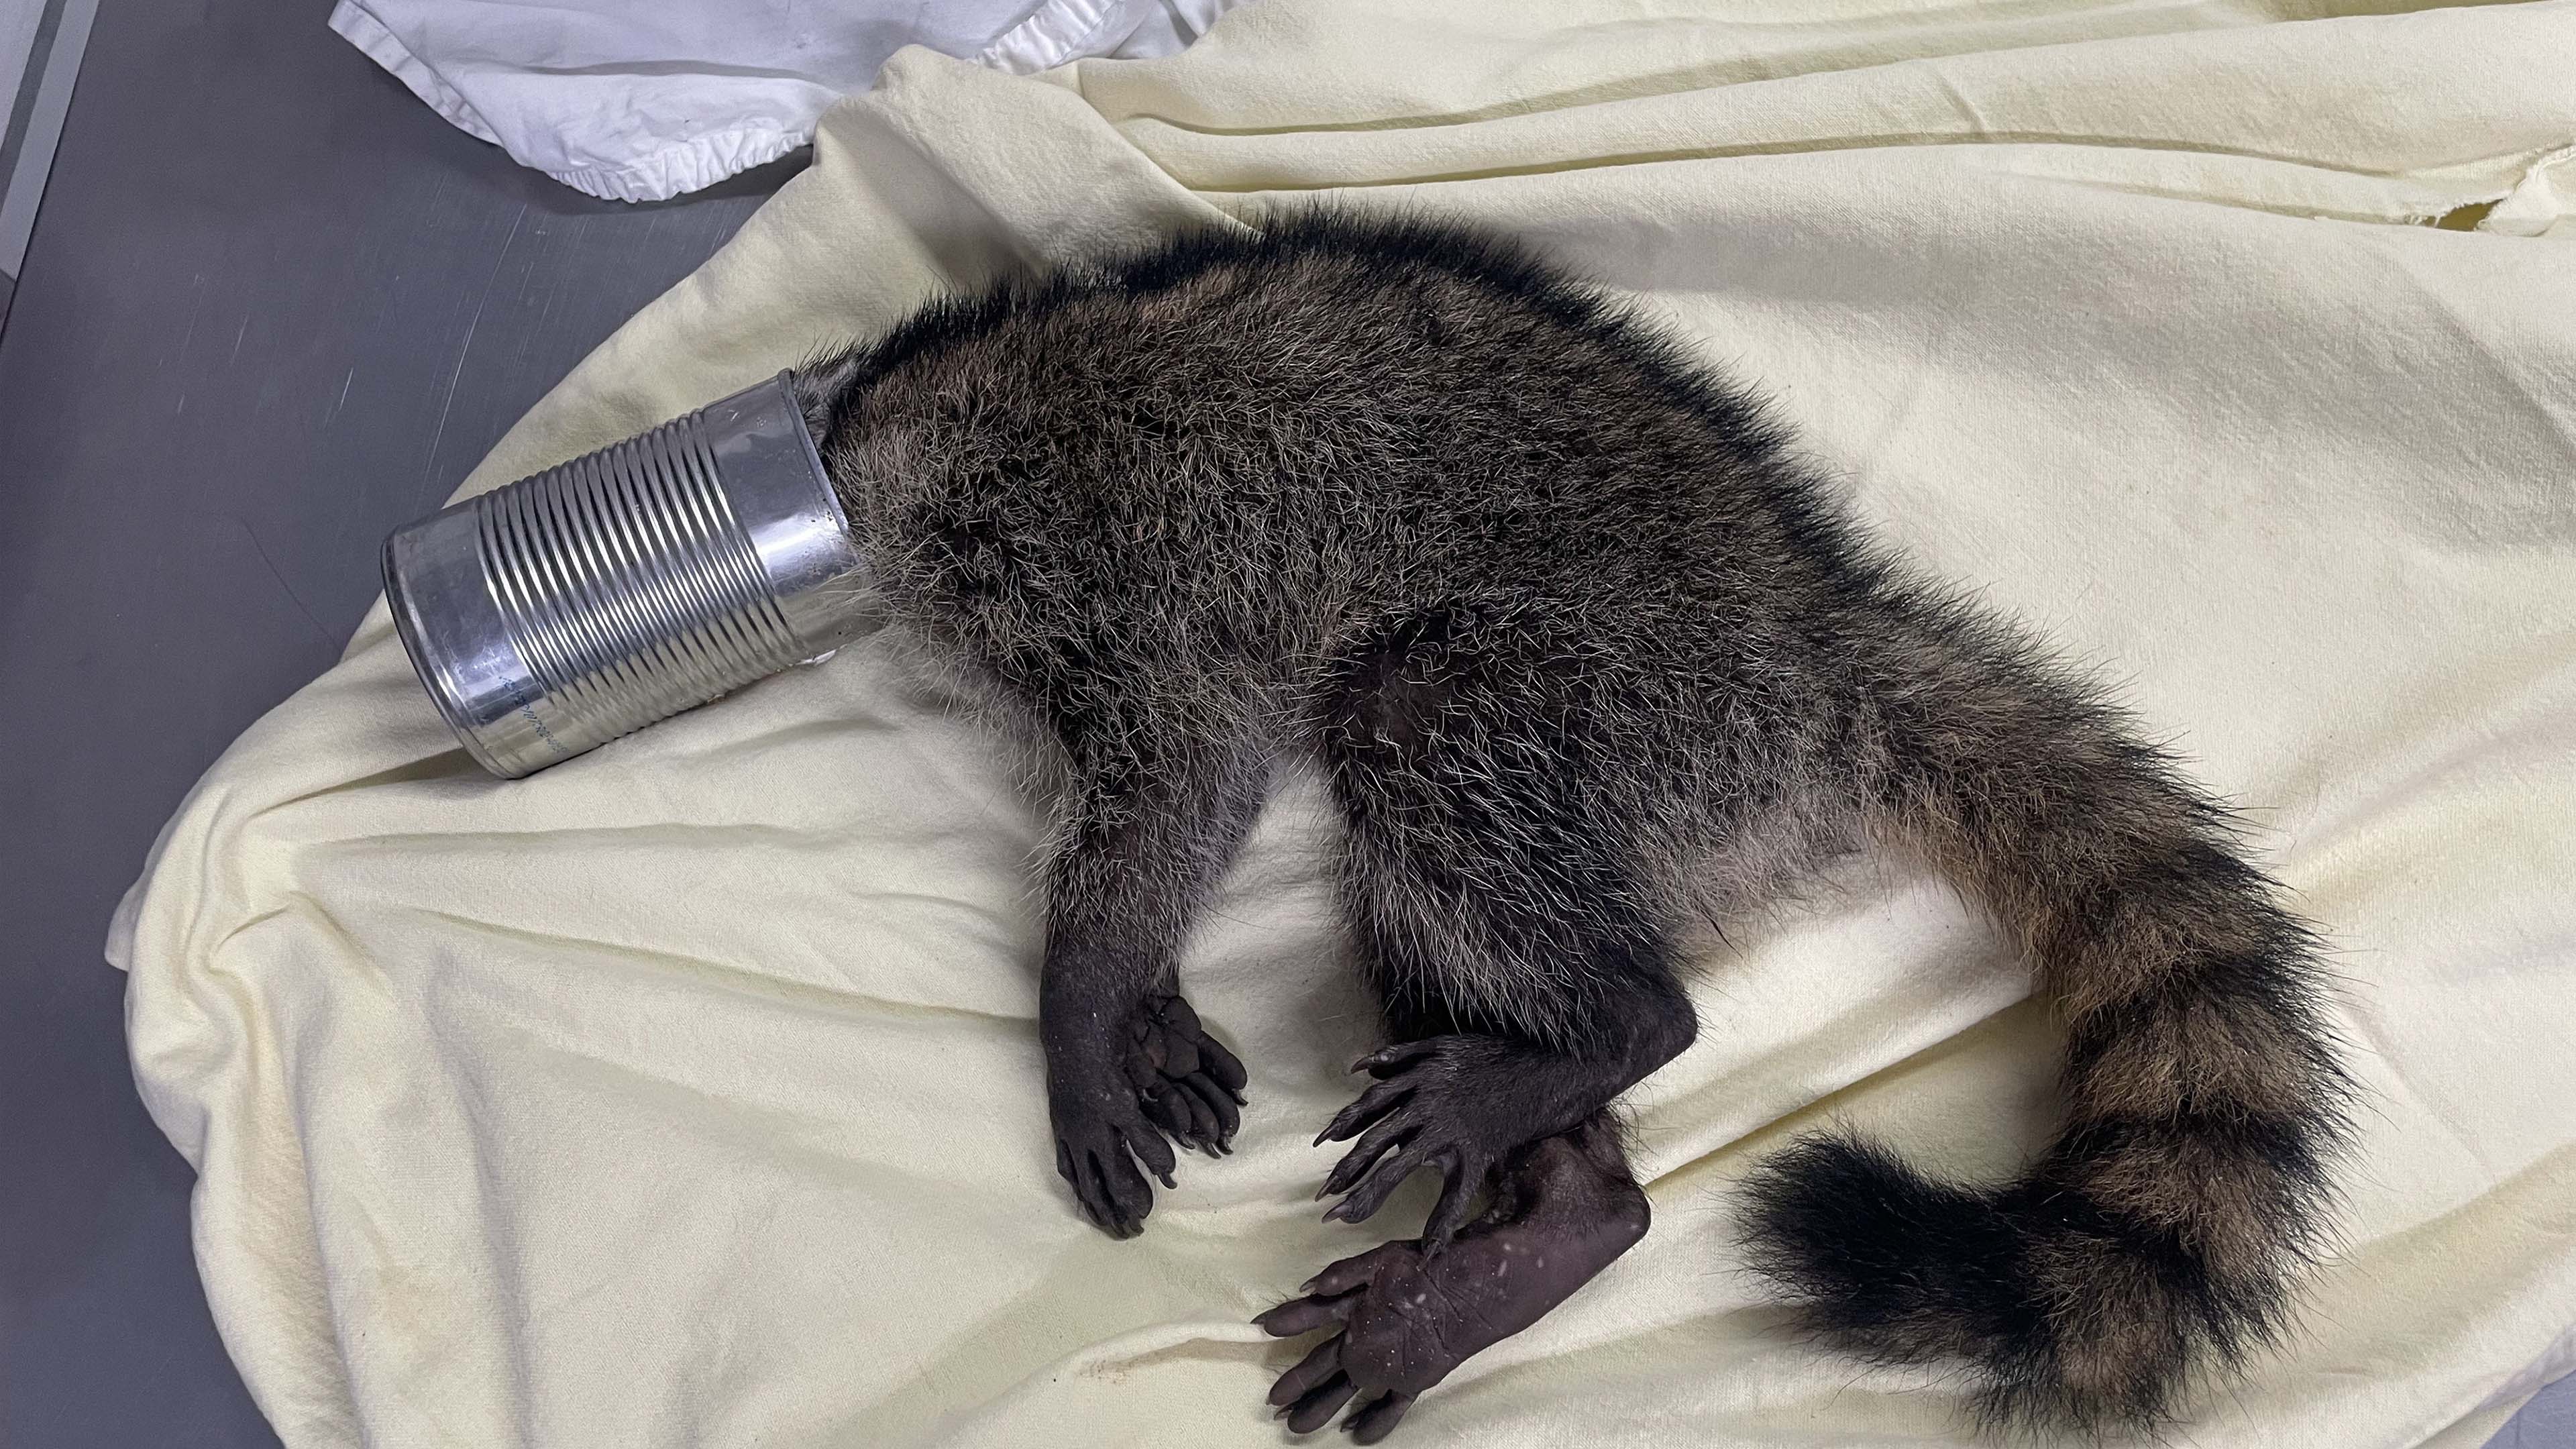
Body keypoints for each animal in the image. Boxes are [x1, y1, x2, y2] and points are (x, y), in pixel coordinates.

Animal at [787, 215, 2351, 1442]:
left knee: (1416, 734)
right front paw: (1146, 1003)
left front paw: (1082, 997)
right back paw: (1572, 1202)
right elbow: (1180, 814)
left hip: (1631, 705)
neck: (880, 421)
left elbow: (1186, 771)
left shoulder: (1075, 551)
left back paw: (1612, 1026)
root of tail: (1822, 645)